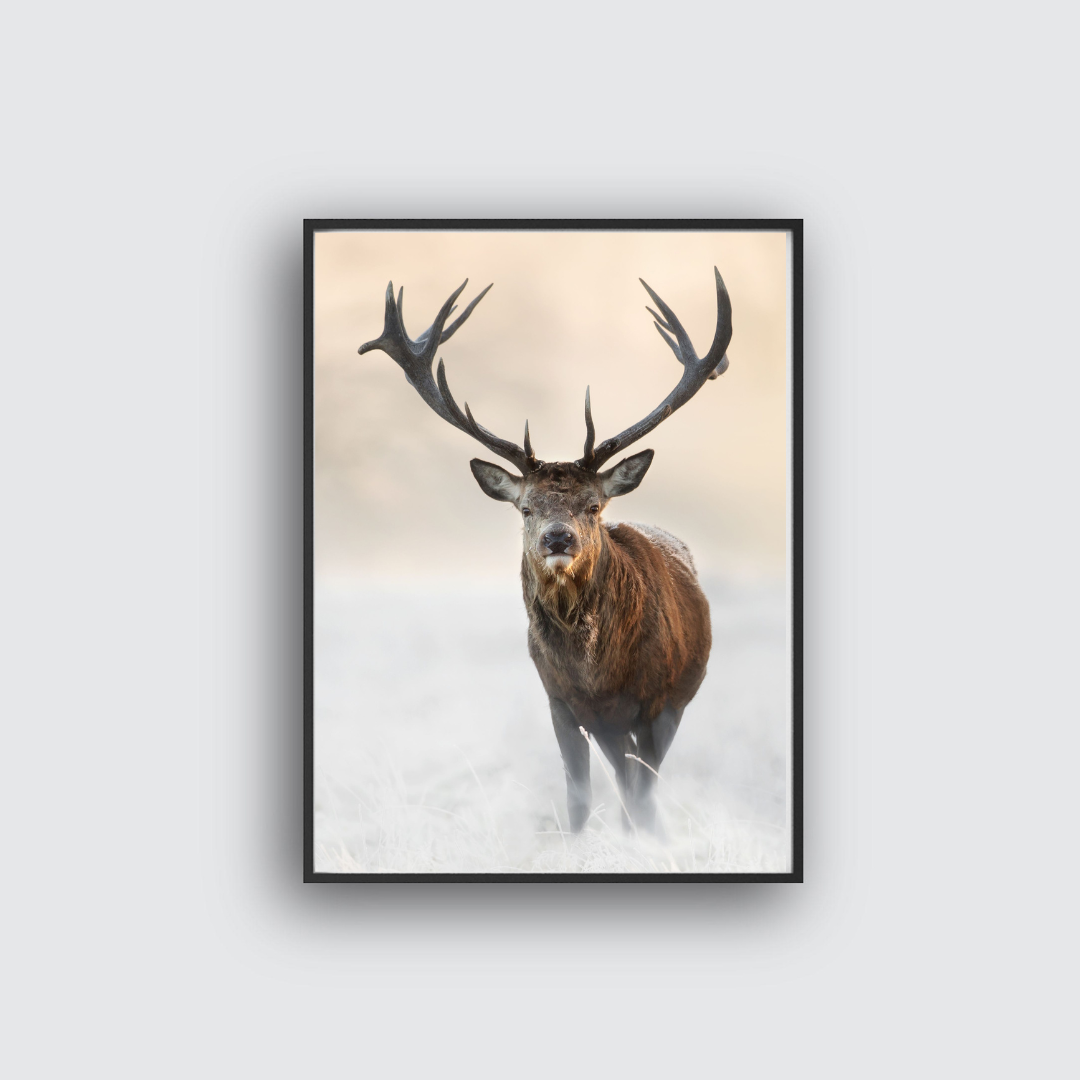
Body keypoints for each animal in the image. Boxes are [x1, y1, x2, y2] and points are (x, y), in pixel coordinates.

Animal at [358, 268, 732, 833]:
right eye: (526, 508)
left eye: (594, 505)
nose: (559, 538)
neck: (598, 675)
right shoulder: (560, 701)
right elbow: (579, 794)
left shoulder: (660, 701)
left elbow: (644, 793)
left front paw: (647, 838)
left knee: (637, 782)